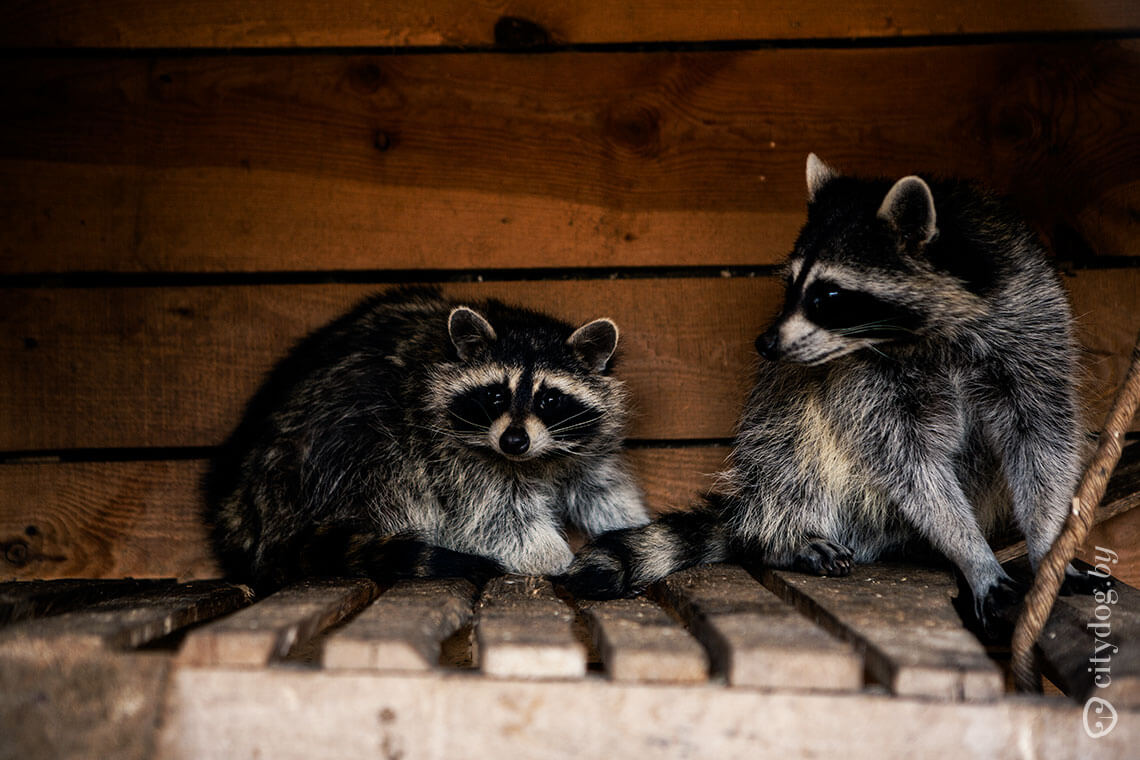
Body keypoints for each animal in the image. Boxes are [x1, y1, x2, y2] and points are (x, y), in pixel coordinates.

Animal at [207, 288, 652, 592]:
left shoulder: (583, 444)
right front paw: (554, 556)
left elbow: (598, 487)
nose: (513, 441)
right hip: (337, 444)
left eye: (550, 399)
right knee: (391, 469)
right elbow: (493, 513)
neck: (535, 458)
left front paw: (631, 528)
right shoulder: (448, 450)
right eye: (495, 395)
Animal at [560, 154, 1094, 638]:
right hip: (783, 430)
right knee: (794, 450)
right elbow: (907, 462)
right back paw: (782, 534)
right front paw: (970, 548)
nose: (765, 344)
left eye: (829, 296)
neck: (929, 333)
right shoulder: (861, 378)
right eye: (790, 285)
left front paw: (1048, 543)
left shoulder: (1029, 320)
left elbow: (1042, 440)